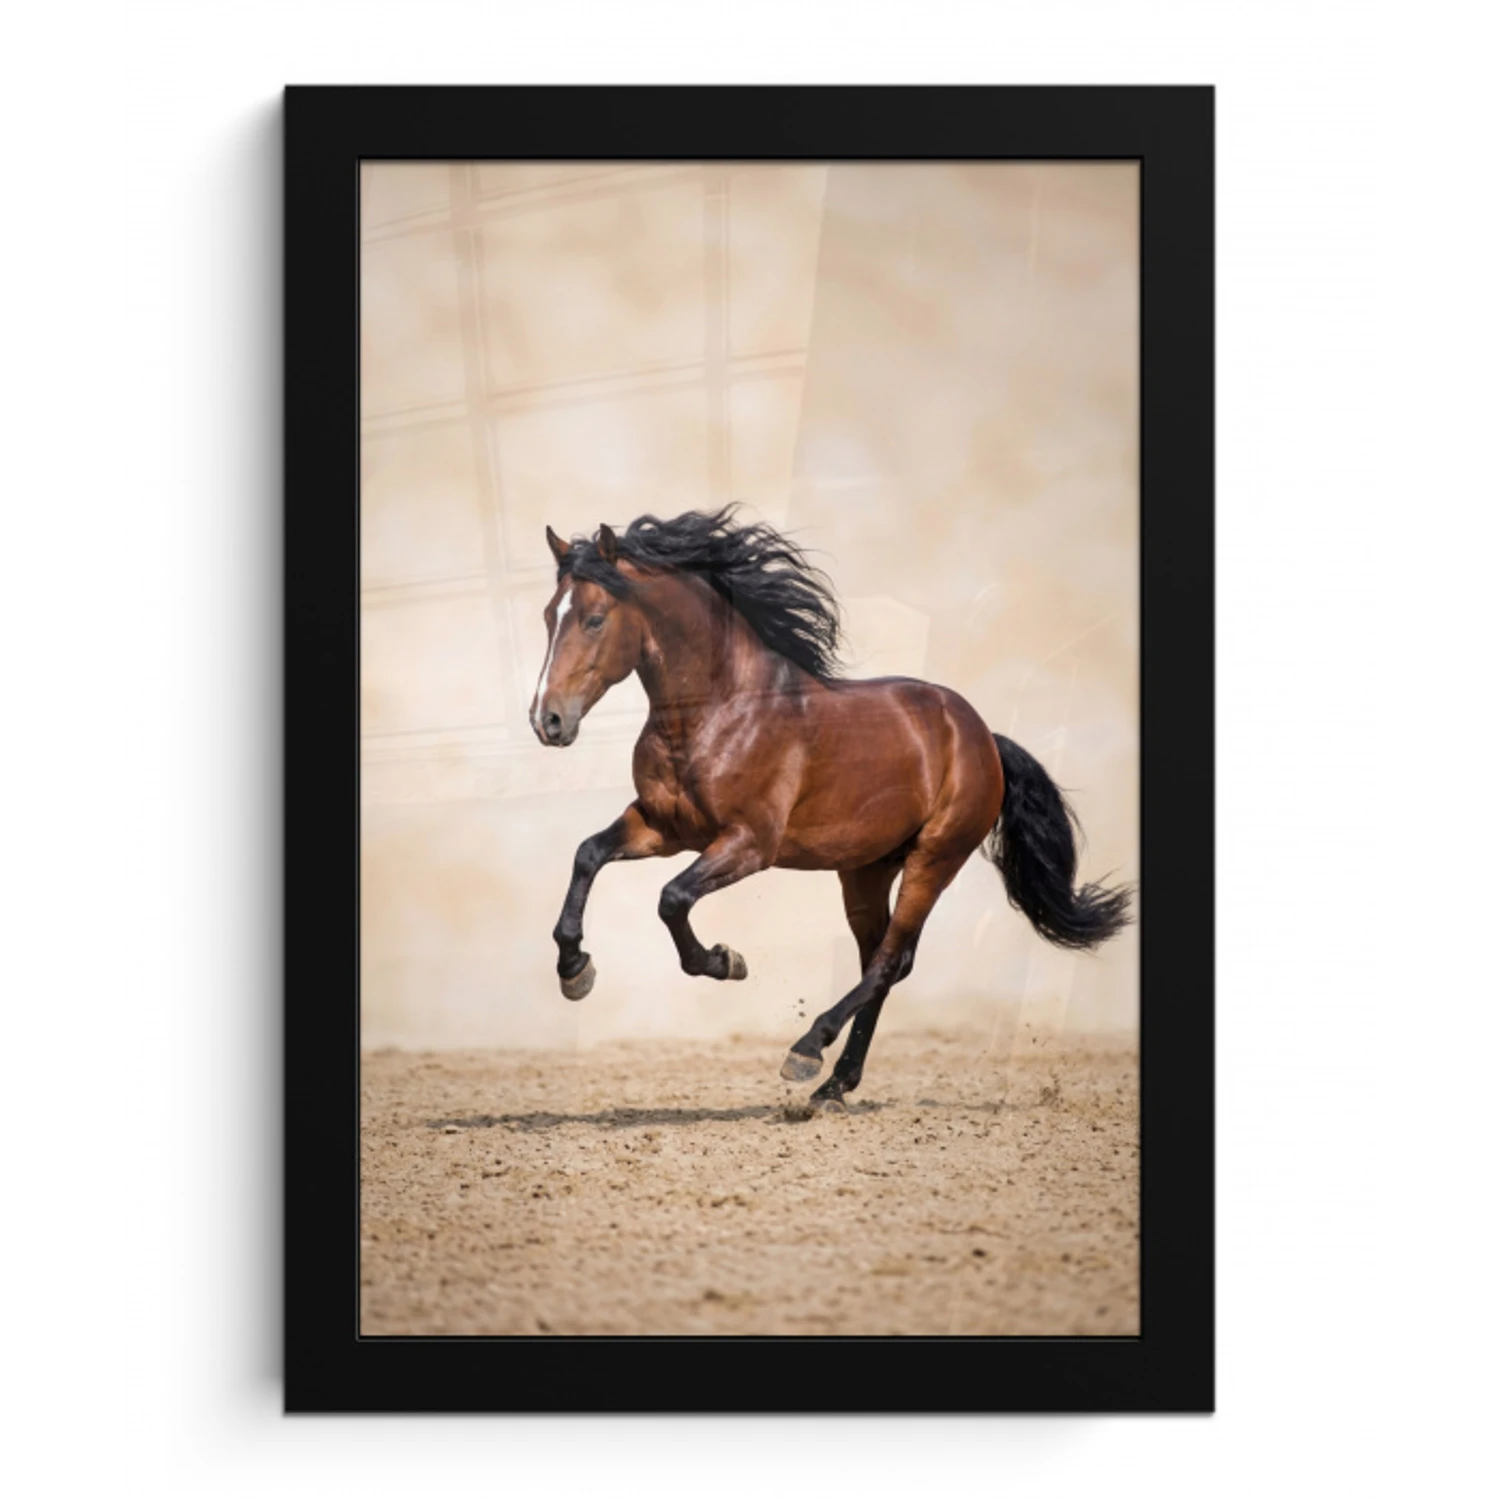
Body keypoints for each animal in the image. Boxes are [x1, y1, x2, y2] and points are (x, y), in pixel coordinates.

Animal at [529, 507, 1132, 1110]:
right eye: (548, 615)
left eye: (595, 619)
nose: (547, 721)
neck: (719, 710)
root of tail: (983, 737)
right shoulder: (663, 827)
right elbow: (588, 855)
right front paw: (575, 971)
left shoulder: (749, 844)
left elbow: (672, 898)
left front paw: (726, 962)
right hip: (865, 870)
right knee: (883, 961)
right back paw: (836, 1084)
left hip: (935, 858)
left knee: (888, 961)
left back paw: (807, 1052)